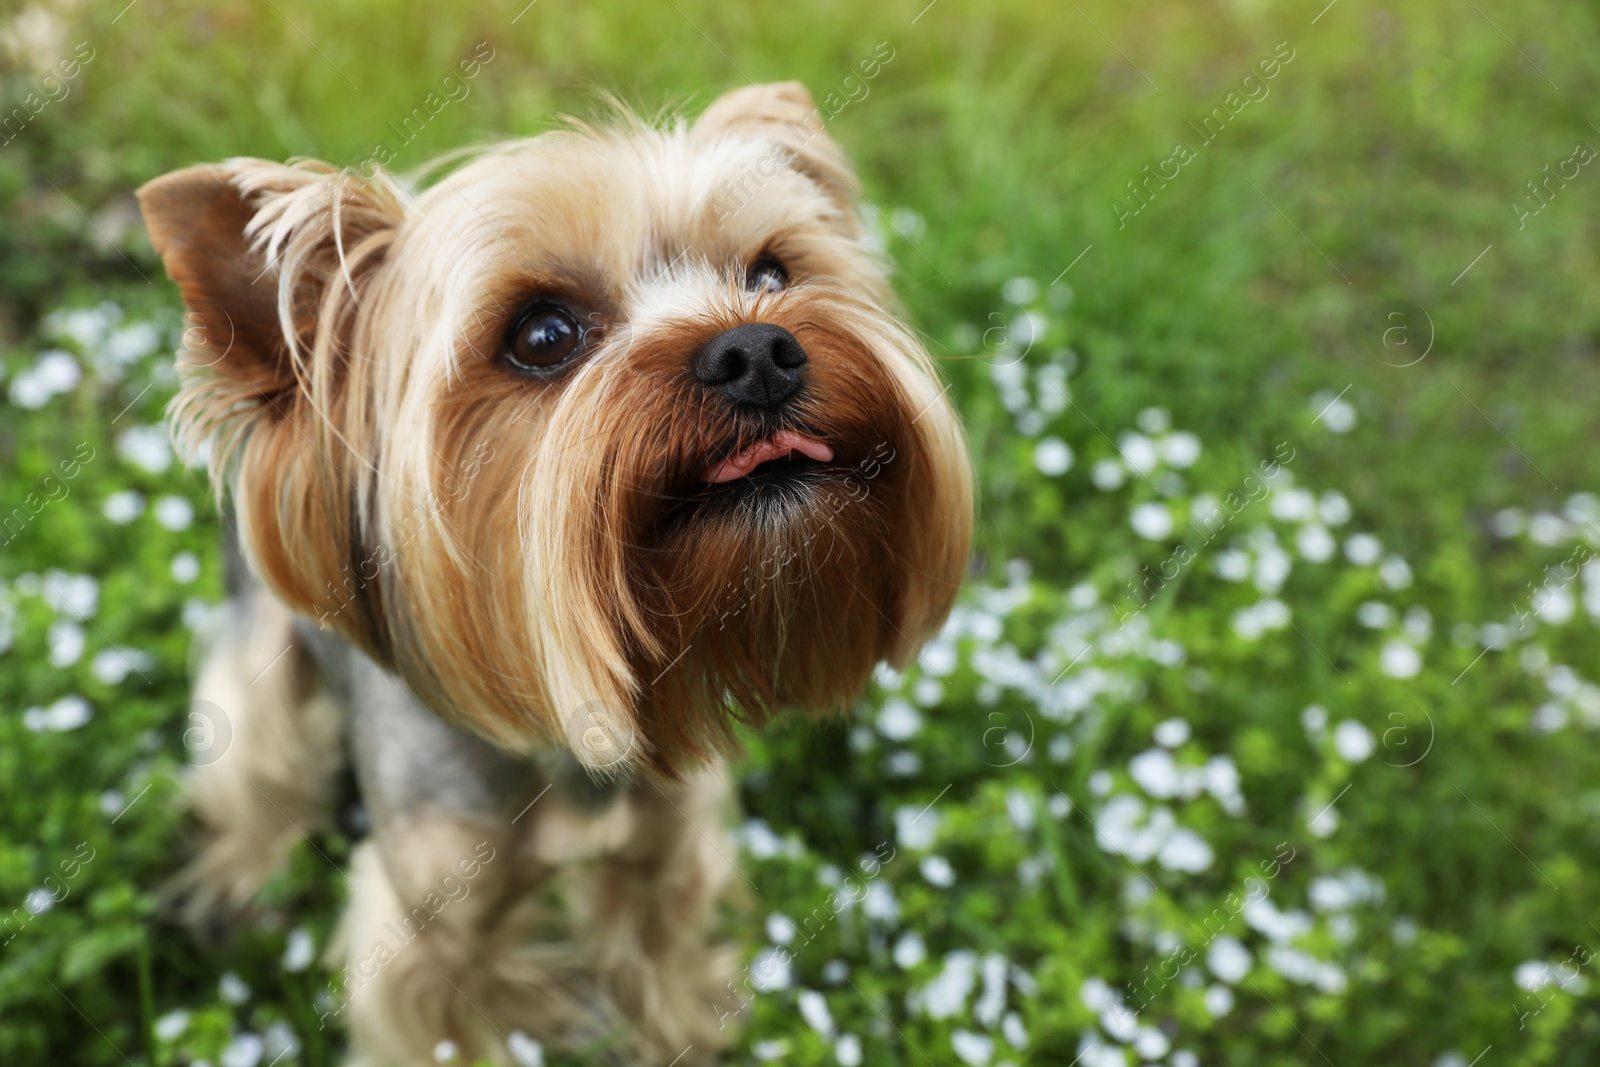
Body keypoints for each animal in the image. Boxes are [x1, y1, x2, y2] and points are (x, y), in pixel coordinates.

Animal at [137, 79, 966, 1062]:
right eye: (542, 334)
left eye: (771, 273)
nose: (757, 349)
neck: (566, 735)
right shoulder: (432, 929)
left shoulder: (664, 855)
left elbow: (658, 963)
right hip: (261, 651)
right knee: (255, 758)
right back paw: (233, 880)